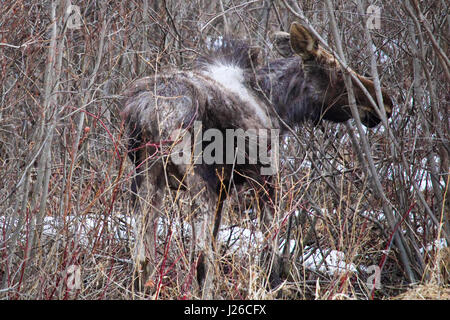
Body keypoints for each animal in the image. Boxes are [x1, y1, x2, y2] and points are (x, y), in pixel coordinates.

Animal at [121, 21, 392, 298]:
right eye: (338, 72)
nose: (386, 103)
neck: (278, 105)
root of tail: (149, 111)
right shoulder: (265, 177)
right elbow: (270, 248)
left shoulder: (222, 190)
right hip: (198, 181)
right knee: (201, 258)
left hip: (145, 177)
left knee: (142, 258)